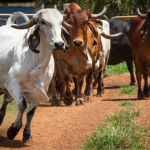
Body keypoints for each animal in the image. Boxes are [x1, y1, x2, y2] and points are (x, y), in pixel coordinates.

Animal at [0, 9, 70, 143]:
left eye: (61, 22)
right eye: (43, 22)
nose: (59, 44)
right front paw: (13, 130)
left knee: (4, 104)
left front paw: (27, 134)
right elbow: (22, 105)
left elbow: (30, 112)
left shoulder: (41, 90)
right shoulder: (12, 84)